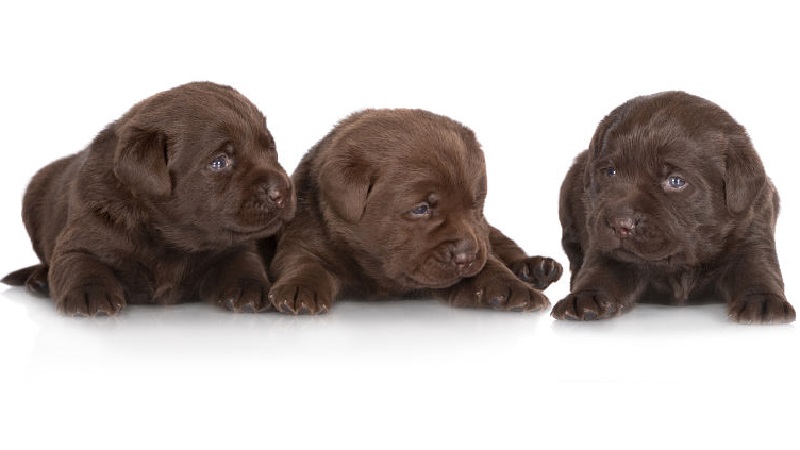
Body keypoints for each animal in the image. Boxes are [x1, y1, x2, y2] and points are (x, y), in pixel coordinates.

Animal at [1, 83, 296, 316]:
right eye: (219, 162)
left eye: (270, 148)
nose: (282, 190)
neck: (168, 236)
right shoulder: (83, 234)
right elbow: (79, 262)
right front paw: (90, 292)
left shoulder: (233, 246)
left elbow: (243, 259)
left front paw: (249, 287)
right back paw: (40, 280)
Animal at [268, 108, 564, 314]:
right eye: (421, 208)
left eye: (475, 205)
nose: (466, 256)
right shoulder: (305, 235)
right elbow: (302, 262)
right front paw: (299, 289)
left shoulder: (478, 240)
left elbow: (490, 263)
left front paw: (515, 288)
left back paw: (537, 268)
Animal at [552, 91, 796, 324]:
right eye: (609, 172)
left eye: (676, 181)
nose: (620, 224)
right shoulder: (604, 246)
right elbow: (599, 271)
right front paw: (585, 297)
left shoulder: (753, 233)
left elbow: (759, 270)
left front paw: (763, 301)